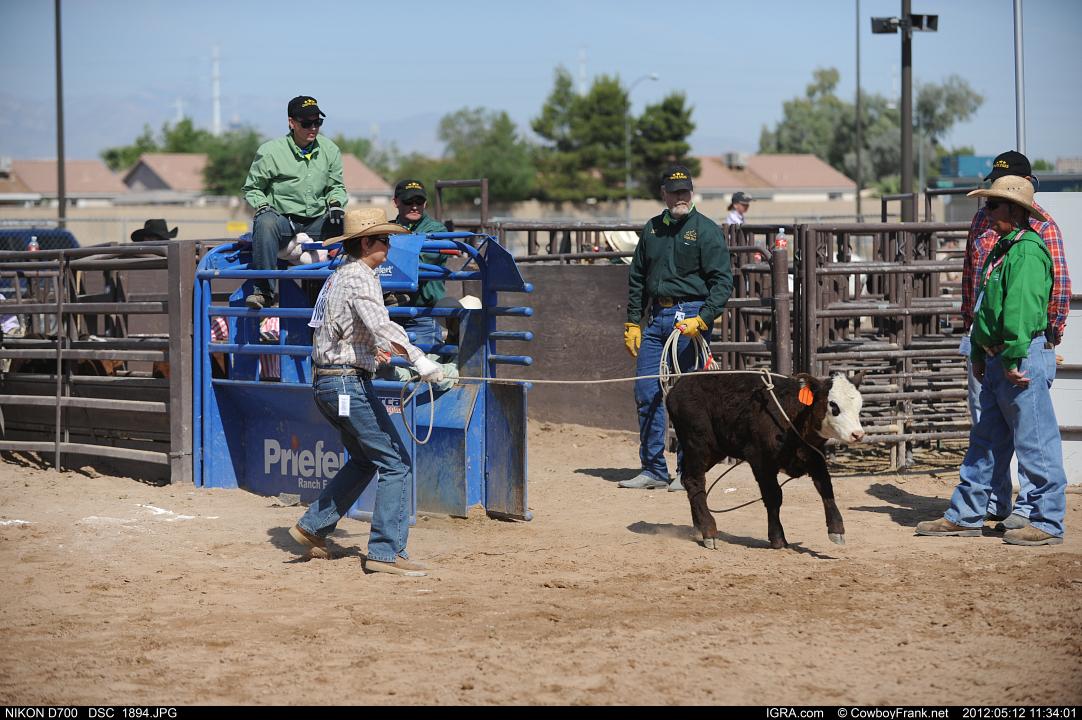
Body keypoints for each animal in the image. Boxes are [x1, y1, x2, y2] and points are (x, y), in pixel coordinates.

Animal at [666, 371, 865, 550]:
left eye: (859, 406)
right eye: (833, 405)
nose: (858, 434)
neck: (791, 415)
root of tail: (678, 387)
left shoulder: (813, 456)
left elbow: (826, 488)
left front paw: (836, 530)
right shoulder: (760, 461)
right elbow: (773, 496)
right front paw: (778, 538)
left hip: (714, 451)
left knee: (689, 480)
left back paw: (699, 526)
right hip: (697, 445)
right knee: (695, 481)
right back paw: (709, 531)